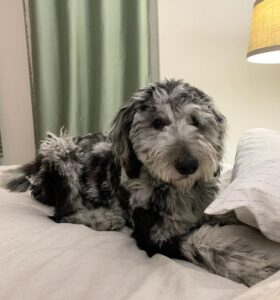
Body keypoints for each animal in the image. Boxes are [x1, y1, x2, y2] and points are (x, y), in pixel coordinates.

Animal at [1, 79, 278, 286]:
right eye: (157, 122)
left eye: (196, 122)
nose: (189, 165)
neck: (175, 188)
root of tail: (35, 168)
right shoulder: (153, 236)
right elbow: (201, 243)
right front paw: (254, 267)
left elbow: (221, 214)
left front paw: (235, 218)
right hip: (60, 149)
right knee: (61, 214)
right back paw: (102, 218)